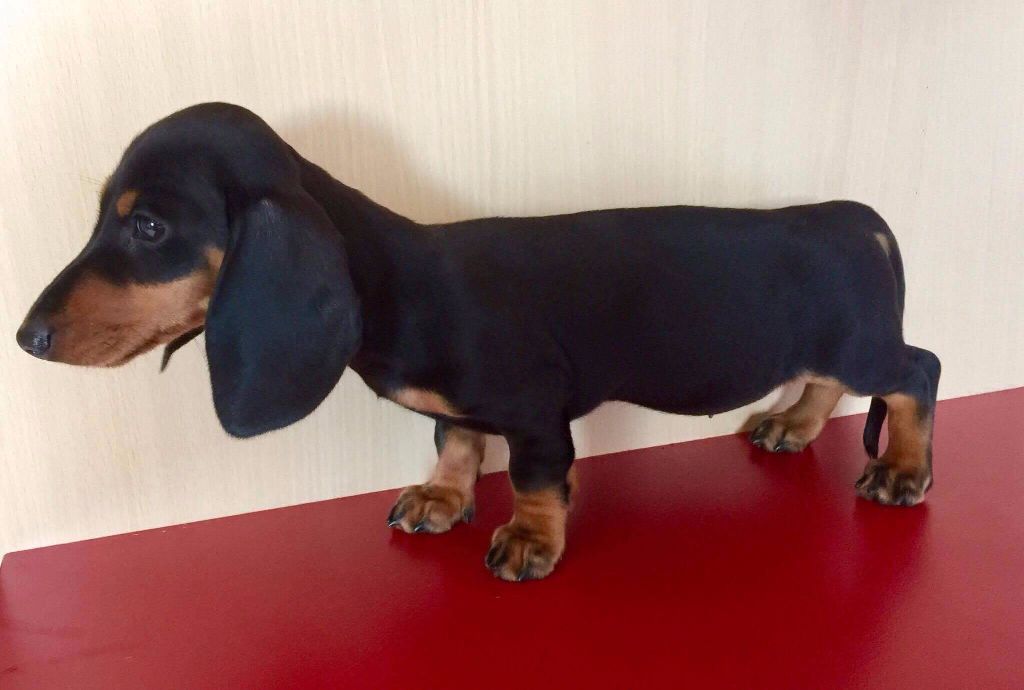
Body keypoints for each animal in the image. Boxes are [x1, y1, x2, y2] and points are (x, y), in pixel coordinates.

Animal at [17, 103, 940, 581]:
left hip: (860, 341)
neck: (399, 281)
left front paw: (531, 538)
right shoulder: (462, 413)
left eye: (148, 226)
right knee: (829, 382)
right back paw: (793, 424)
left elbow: (533, 477)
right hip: (828, 347)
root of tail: (857, 218)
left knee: (915, 371)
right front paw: (442, 497)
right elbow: (456, 441)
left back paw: (902, 468)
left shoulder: (535, 412)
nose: (26, 337)